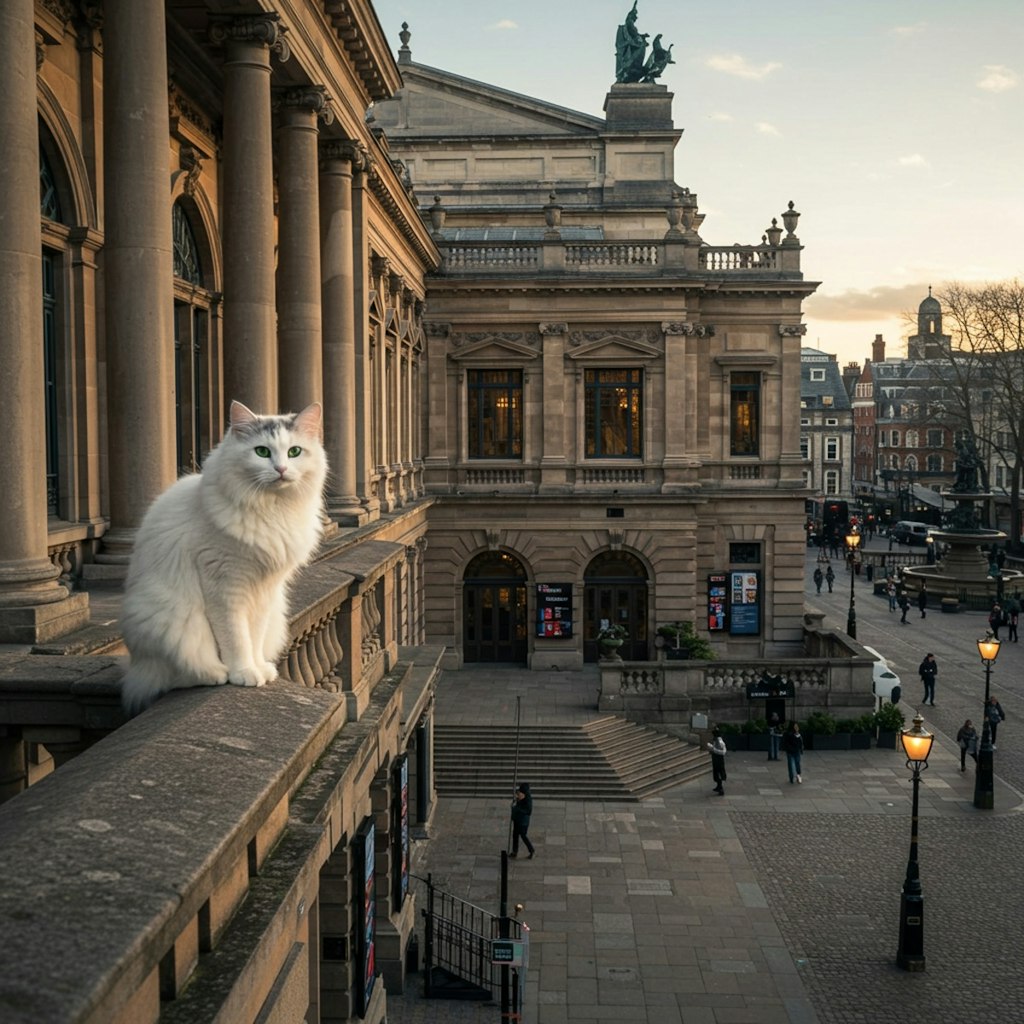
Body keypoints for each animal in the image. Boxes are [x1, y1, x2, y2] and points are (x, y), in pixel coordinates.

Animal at [119, 399, 327, 712]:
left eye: (294, 452)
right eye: (262, 451)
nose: (280, 469)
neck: (272, 510)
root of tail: (135, 669)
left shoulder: (265, 590)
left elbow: (254, 637)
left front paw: (259, 669)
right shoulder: (225, 586)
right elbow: (236, 638)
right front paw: (243, 673)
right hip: (168, 617)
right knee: (173, 678)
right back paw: (216, 674)